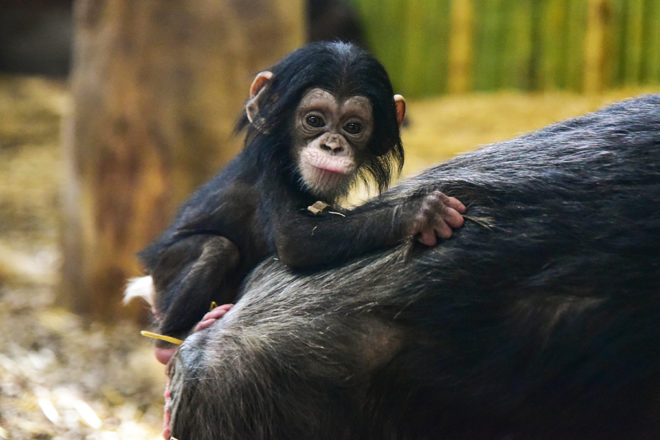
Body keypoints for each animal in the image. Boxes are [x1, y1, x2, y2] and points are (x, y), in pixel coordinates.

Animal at [124, 41, 464, 364]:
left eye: (353, 127)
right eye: (314, 119)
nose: (332, 145)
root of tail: (148, 282)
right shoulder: (272, 171)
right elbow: (295, 238)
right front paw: (419, 212)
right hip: (165, 270)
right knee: (215, 248)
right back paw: (173, 339)